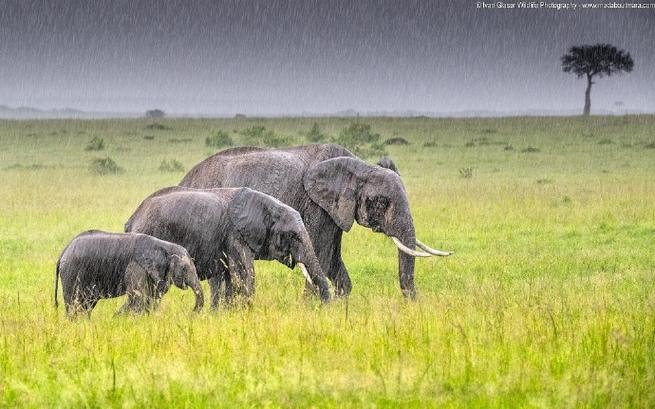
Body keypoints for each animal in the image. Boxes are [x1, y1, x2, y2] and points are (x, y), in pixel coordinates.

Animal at [55, 230, 204, 317]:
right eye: (184, 269)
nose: (191, 313)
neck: (165, 246)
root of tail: (63, 253)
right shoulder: (136, 266)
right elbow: (138, 297)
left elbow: (150, 297)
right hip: (71, 273)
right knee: (74, 302)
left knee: (86, 303)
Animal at [124, 186, 331, 308]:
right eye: (293, 236)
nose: (326, 308)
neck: (269, 206)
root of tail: (132, 219)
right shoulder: (235, 235)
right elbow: (244, 274)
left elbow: (231, 278)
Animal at [179, 143, 452, 299]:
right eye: (382, 202)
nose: (410, 303)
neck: (360, 166)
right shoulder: (316, 207)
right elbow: (320, 255)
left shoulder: (334, 210)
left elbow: (331, 259)